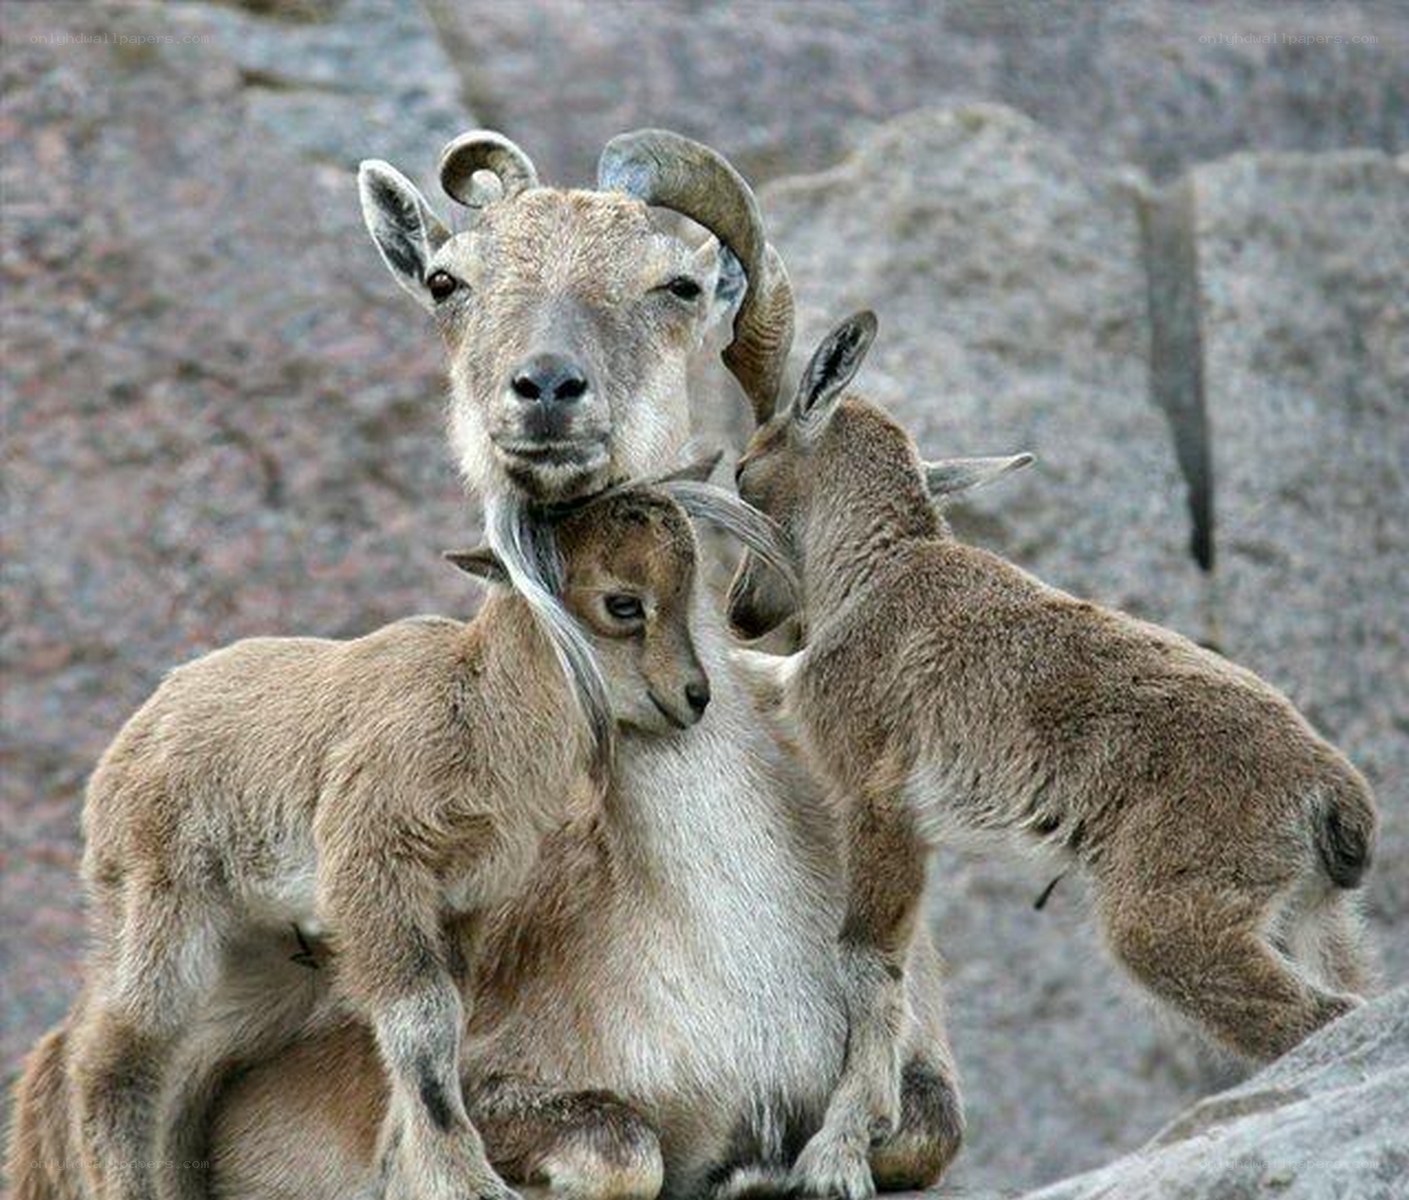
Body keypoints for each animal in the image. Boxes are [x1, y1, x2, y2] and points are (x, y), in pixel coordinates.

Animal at [63, 465, 774, 1200]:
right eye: (623, 603)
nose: (695, 696)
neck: (478, 710)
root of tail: (128, 746)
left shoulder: (459, 902)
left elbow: (443, 1029)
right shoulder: (376, 873)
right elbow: (421, 1025)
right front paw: (464, 1181)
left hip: (264, 949)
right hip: (162, 906)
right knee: (116, 1055)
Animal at [729, 312, 1379, 1199]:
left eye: (740, 473)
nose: (740, 609)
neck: (876, 574)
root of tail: (1329, 791)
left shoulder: (878, 800)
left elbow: (868, 964)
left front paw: (836, 1154)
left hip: (1173, 917)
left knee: (1318, 1018)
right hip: (1316, 917)